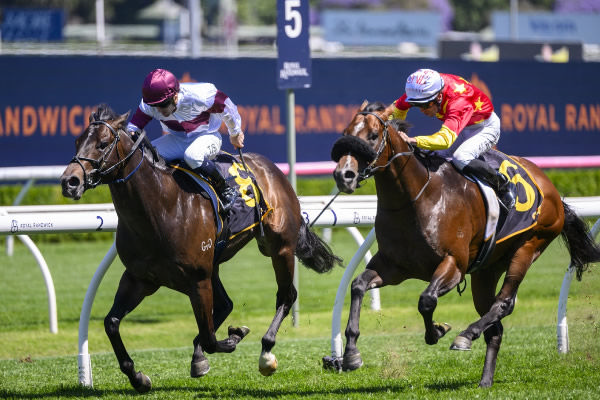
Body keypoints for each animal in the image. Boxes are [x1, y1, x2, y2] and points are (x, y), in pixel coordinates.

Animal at [61, 104, 342, 394]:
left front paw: (233, 337)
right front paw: (138, 377)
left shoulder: (197, 280)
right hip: (215, 264)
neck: (161, 208)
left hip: (280, 248)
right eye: (77, 141)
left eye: (103, 144)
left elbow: (210, 337)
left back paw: (266, 352)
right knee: (227, 304)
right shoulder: (141, 278)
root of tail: (272, 169)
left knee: (286, 296)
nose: (70, 181)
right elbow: (111, 323)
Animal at [330, 101, 596, 388]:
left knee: (504, 303)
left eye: (372, 136)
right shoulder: (393, 266)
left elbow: (426, 300)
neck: (416, 197)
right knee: (495, 327)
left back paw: (467, 334)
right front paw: (351, 354)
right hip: (486, 271)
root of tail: (550, 188)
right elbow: (358, 286)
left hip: (530, 245)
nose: (344, 175)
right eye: (345, 133)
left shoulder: (454, 264)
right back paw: (485, 380)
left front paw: (437, 331)